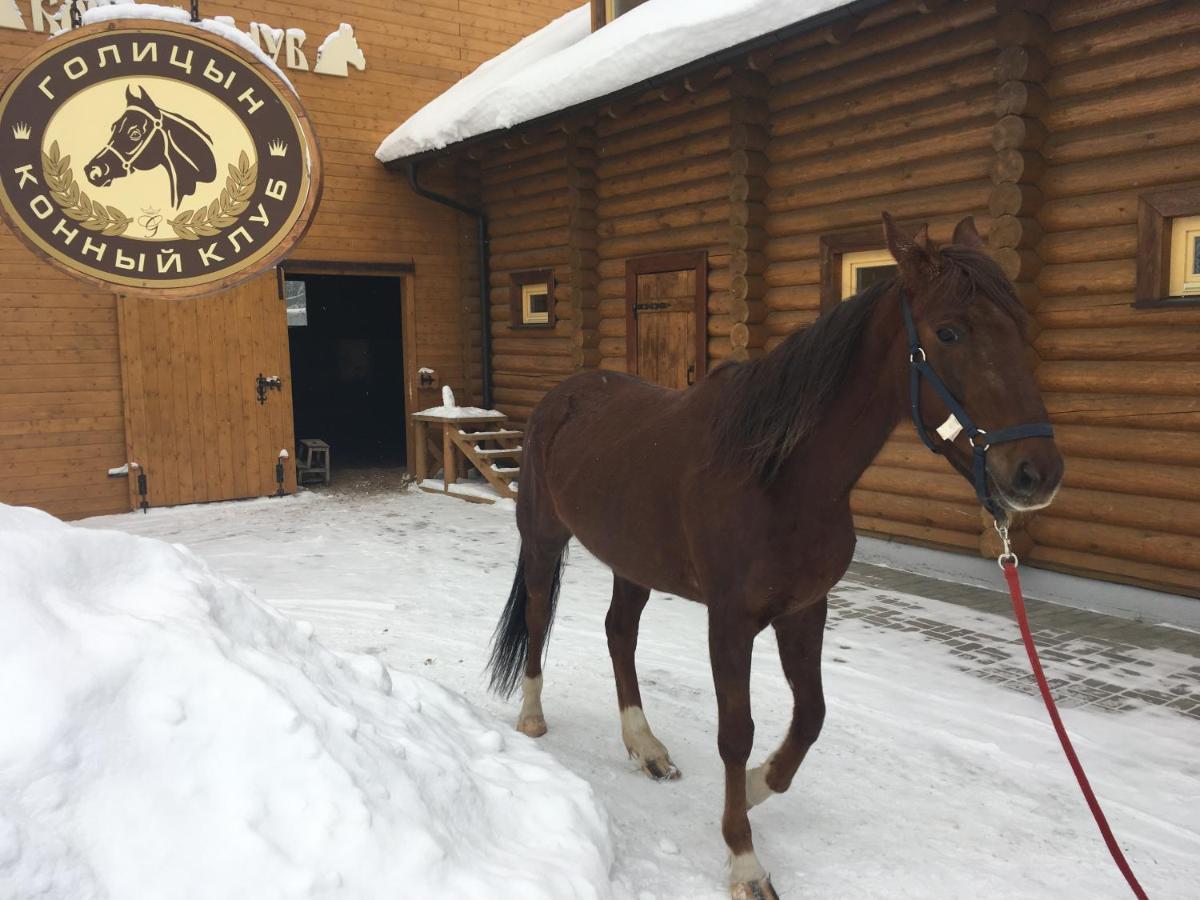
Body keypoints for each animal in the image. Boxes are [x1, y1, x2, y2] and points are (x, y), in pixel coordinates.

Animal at [484, 213, 1060, 900]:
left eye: (1020, 326)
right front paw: (744, 858)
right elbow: (737, 733)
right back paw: (533, 718)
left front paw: (760, 788)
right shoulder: (730, 621)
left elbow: (809, 716)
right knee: (538, 616)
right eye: (950, 331)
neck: (780, 477)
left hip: (633, 562)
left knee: (619, 633)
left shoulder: (804, 610)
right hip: (544, 540)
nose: (1036, 473)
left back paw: (645, 747)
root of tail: (561, 398)